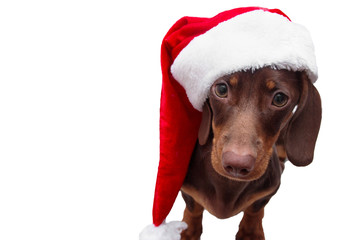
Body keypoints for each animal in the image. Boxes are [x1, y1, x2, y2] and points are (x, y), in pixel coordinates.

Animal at [179, 67, 320, 240]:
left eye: (280, 99)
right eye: (221, 89)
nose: (237, 165)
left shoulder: (266, 193)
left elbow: (254, 210)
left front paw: (250, 232)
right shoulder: (188, 191)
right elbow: (194, 209)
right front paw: (188, 231)